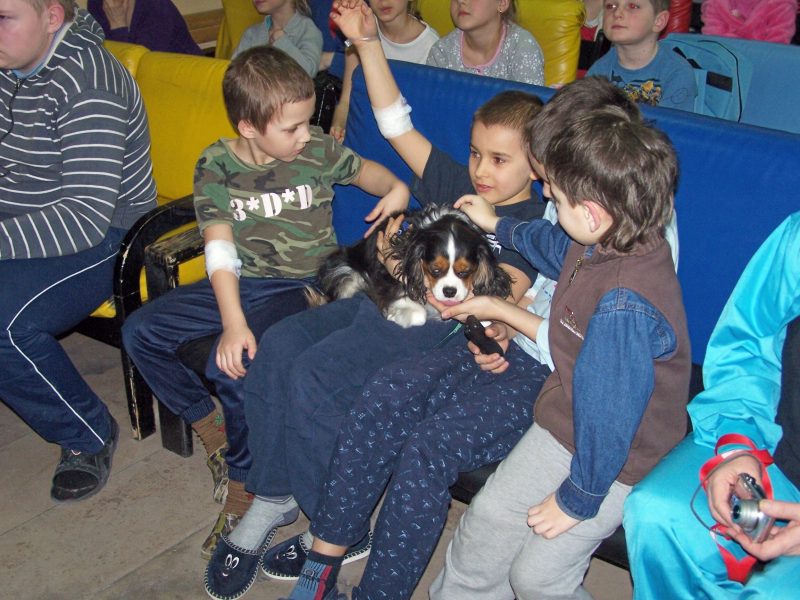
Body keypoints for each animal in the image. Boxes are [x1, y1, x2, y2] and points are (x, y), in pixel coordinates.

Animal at [313, 205, 512, 328]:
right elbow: (418, 314)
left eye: (465, 271)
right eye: (435, 270)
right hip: (343, 271)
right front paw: (396, 315)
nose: (449, 291)